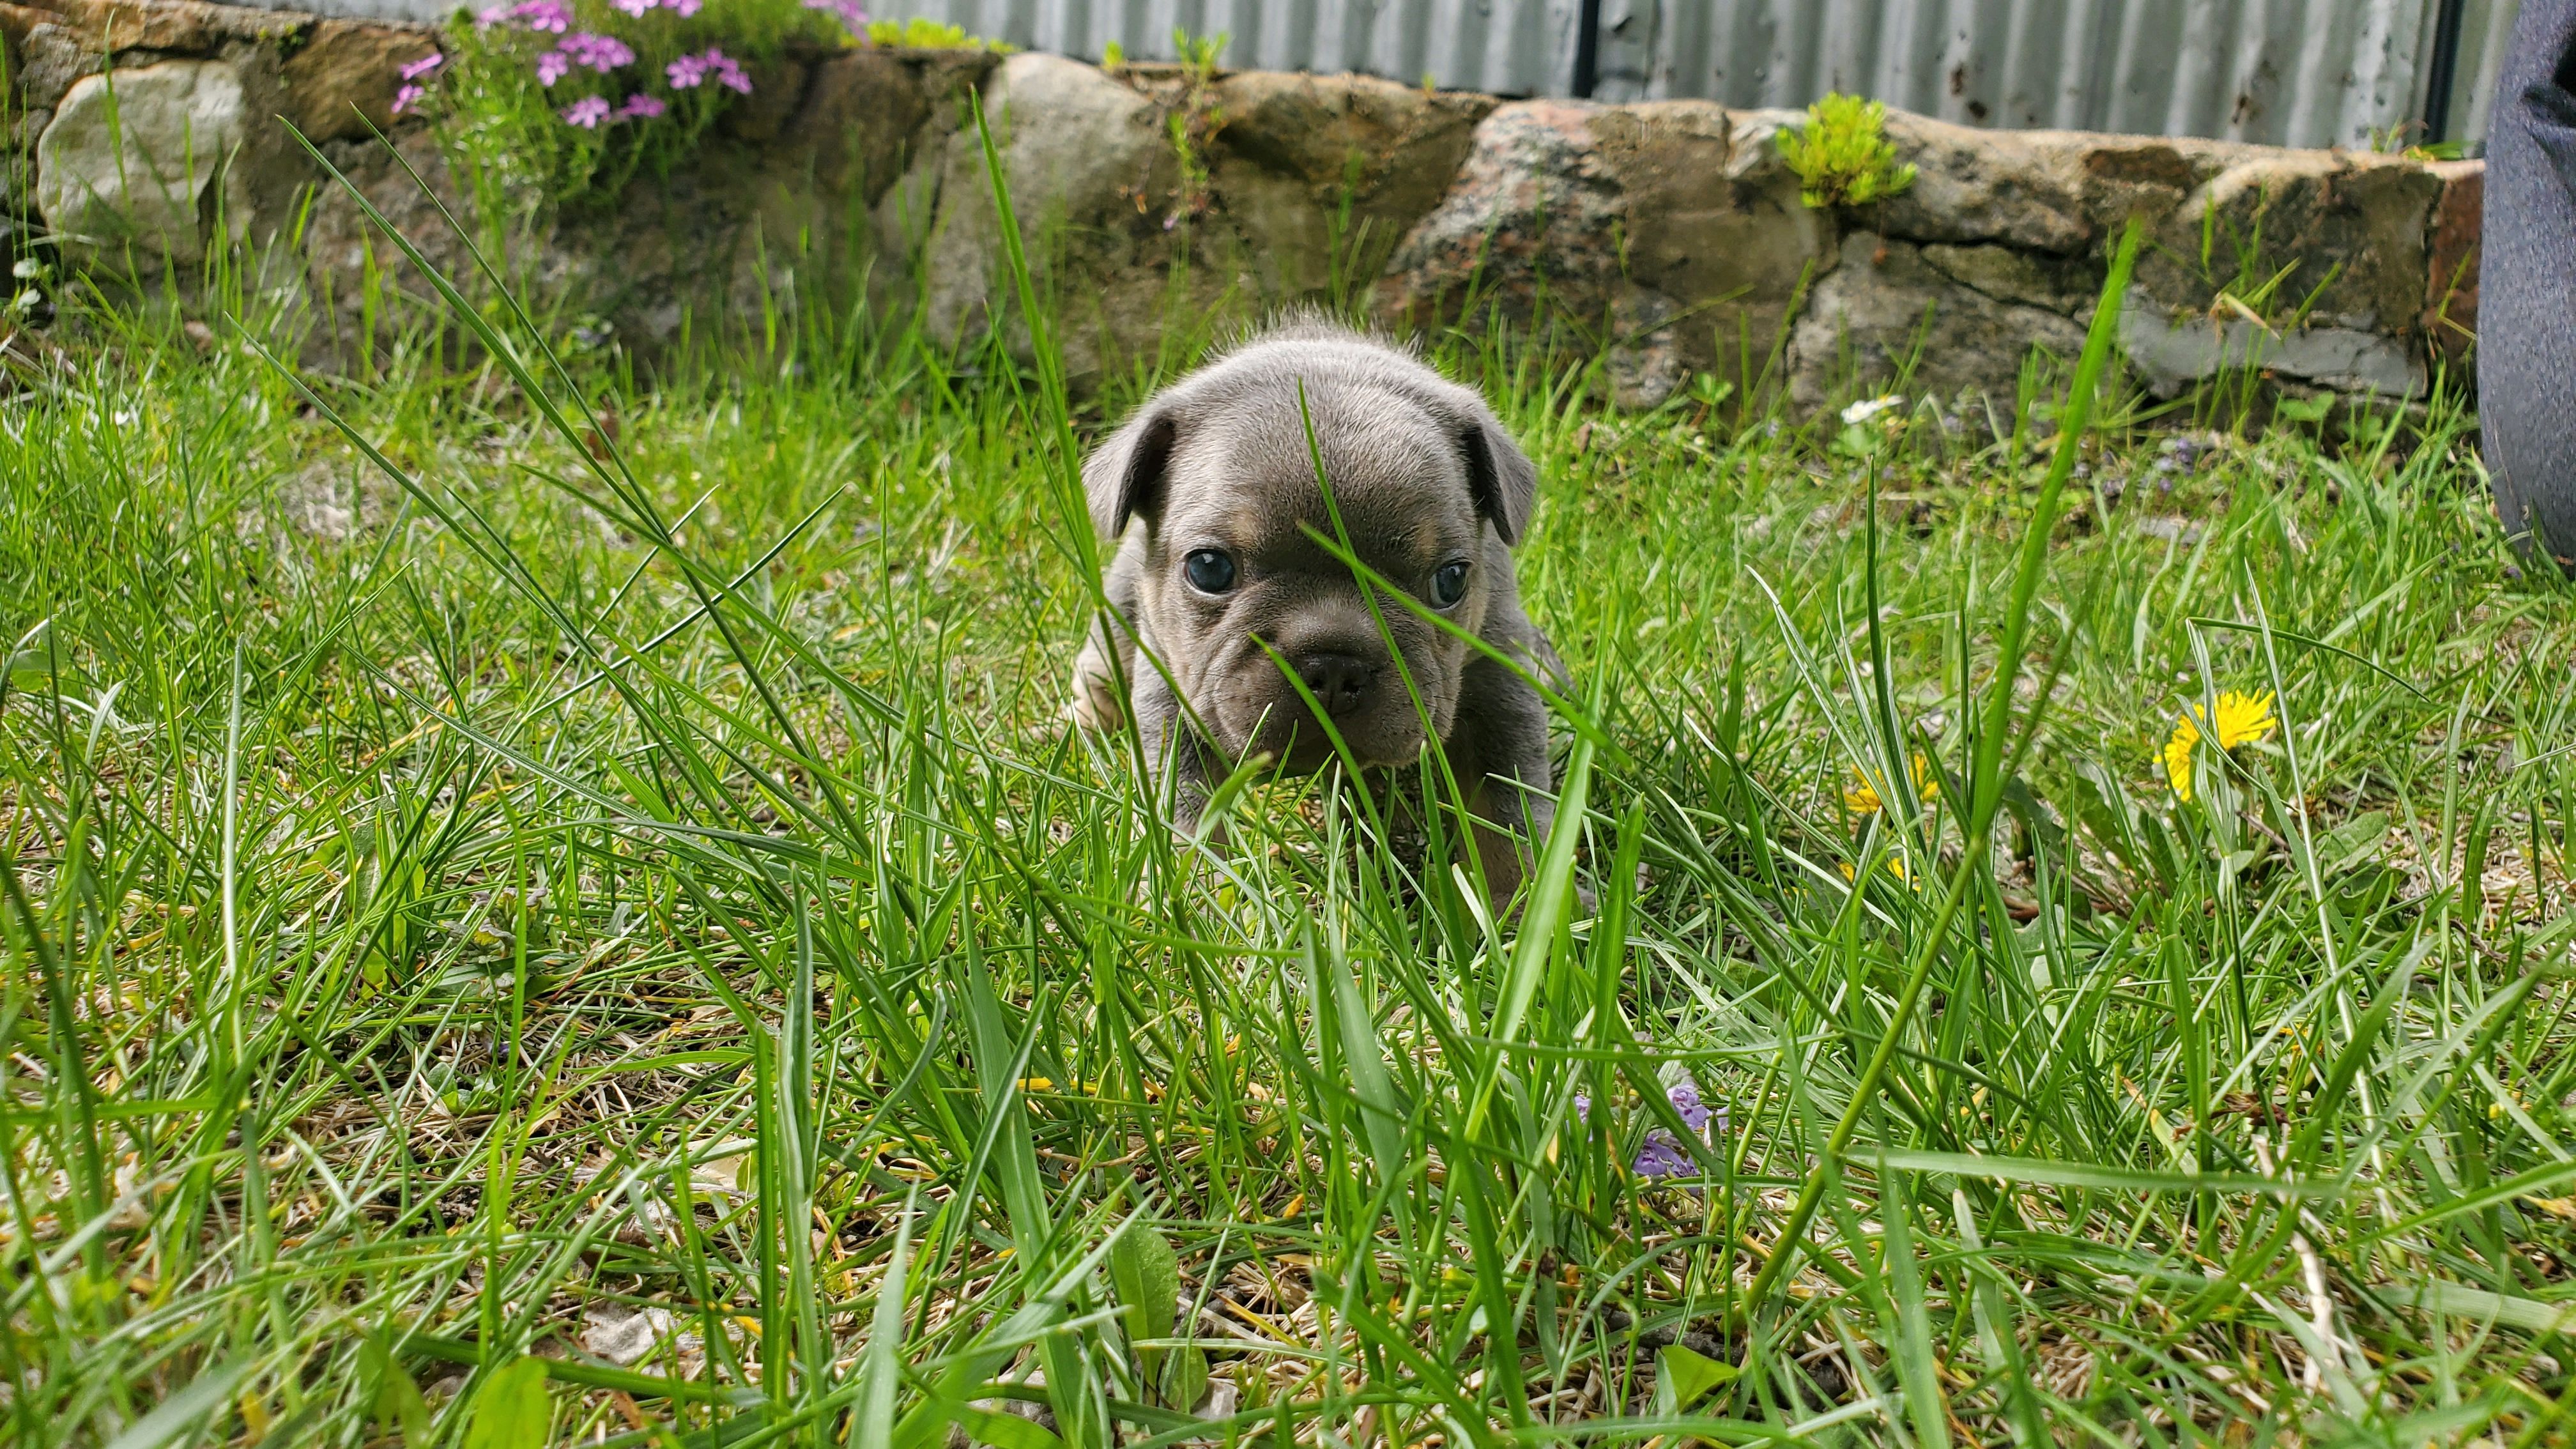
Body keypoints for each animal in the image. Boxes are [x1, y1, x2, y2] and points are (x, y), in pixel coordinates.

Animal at [1071, 321, 1566, 897]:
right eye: (1209, 569)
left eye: (1451, 581)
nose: (1334, 665)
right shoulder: (1176, 703)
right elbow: (1187, 816)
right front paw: (1194, 898)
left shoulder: (1497, 689)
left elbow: (1507, 814)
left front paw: (1524, 903)